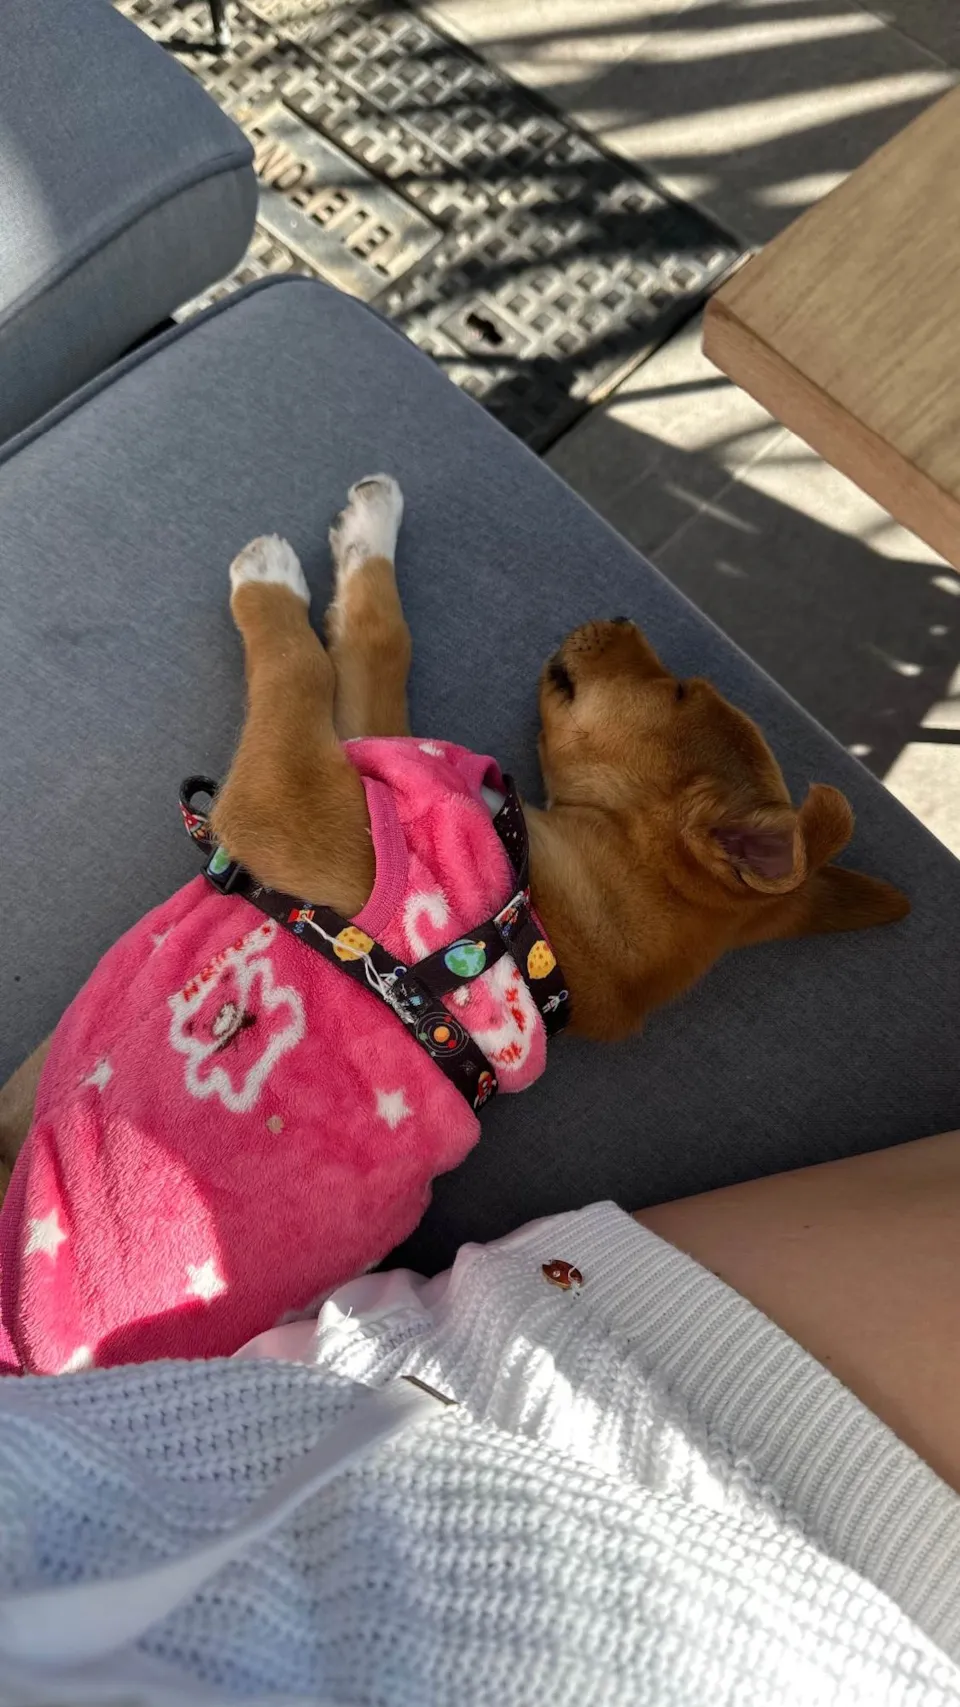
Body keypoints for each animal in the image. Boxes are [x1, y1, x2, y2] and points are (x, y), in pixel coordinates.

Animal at [0, 475, 908, 1372]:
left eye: (685, 690)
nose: (619, 612)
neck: (533, 915)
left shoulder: (283, 798)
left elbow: (302, 666)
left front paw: (269, 576)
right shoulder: (379, 759)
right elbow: (377, 646)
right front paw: (372, 525)